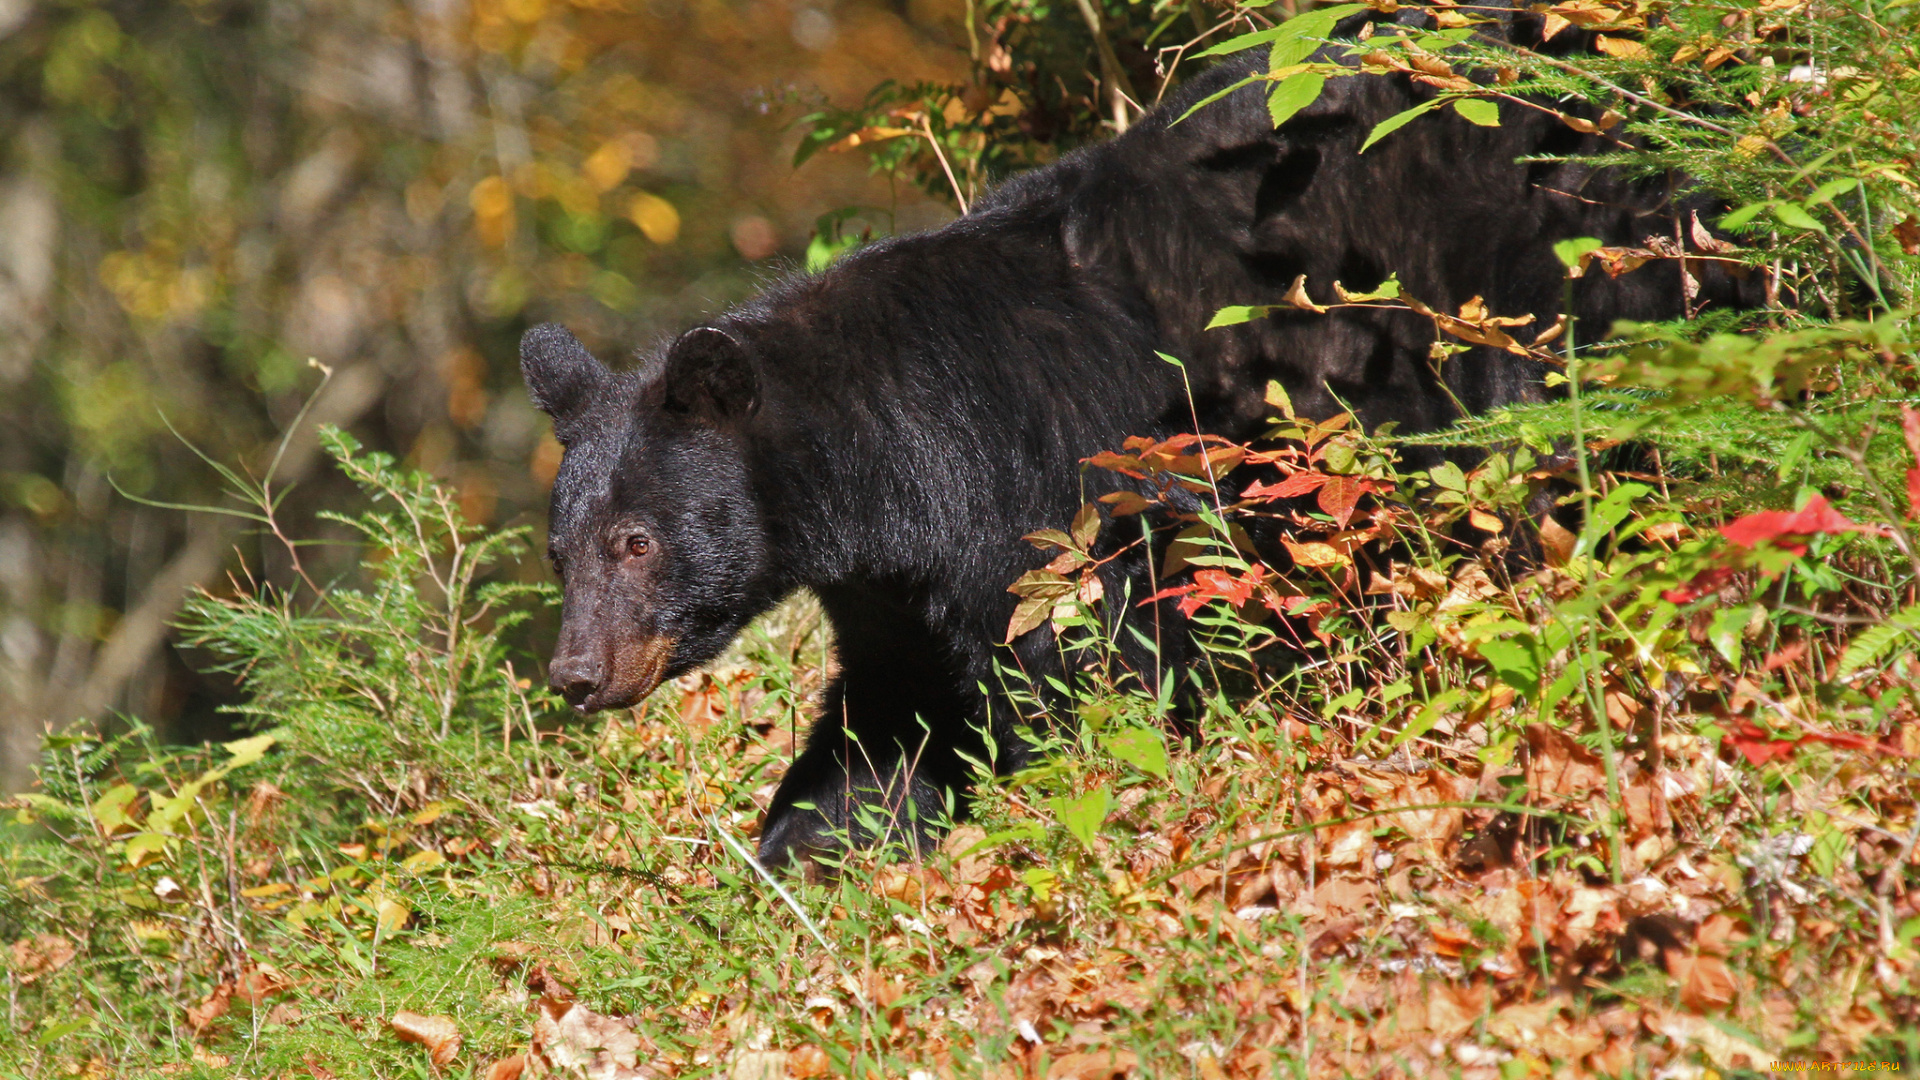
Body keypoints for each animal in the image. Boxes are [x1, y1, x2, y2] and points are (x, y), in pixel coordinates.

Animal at [522, 23, 1758, 864]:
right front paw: (792, 860)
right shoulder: (894, 591)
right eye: (562, 550)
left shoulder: (1044, 502)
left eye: (637, 540)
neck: (892, 468)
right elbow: (884, 727)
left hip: (1534, 287)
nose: (574, 675)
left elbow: (1085, 676)